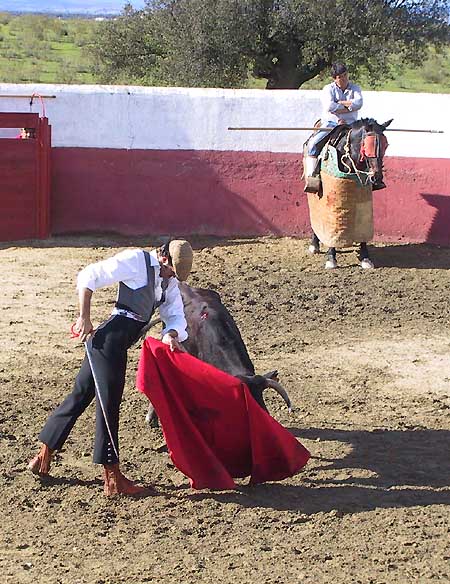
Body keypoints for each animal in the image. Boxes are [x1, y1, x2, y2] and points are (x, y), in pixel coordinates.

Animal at [307, 117, 392, 269]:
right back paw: (314, 245)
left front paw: (365, 258)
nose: (377, 177)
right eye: (367, 146)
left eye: (385, 145)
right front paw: (331, 258)